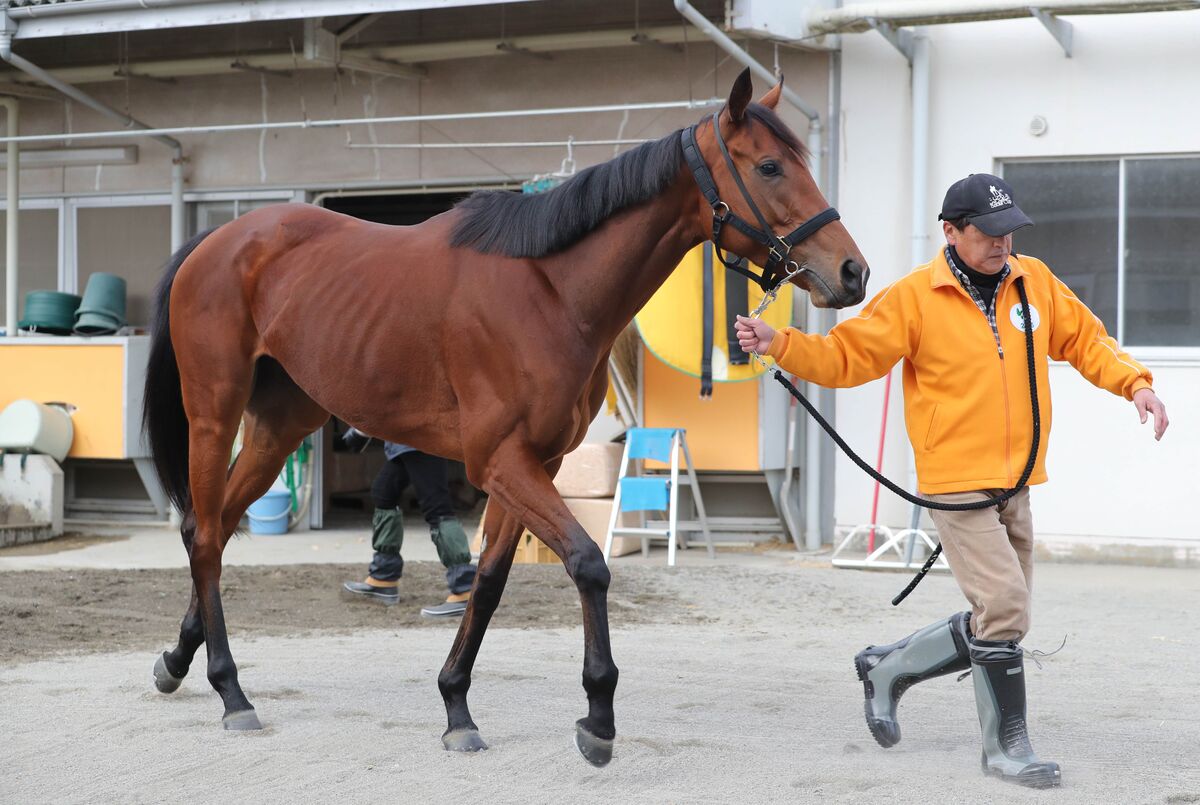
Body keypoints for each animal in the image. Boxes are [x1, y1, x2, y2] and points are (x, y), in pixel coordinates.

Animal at [145, 70, 868, 767]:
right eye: (770, 166)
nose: (852, 272)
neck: (549, 291)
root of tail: (215, 240)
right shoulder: (502, 461)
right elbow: (587, 563)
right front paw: (597, 718)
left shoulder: (532, 463)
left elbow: (489, 583)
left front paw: (456, 708)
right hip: (214, 415)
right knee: (204, 536)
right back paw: (230, 690)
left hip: (278, 429)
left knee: (213, 528)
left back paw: (177, 661)